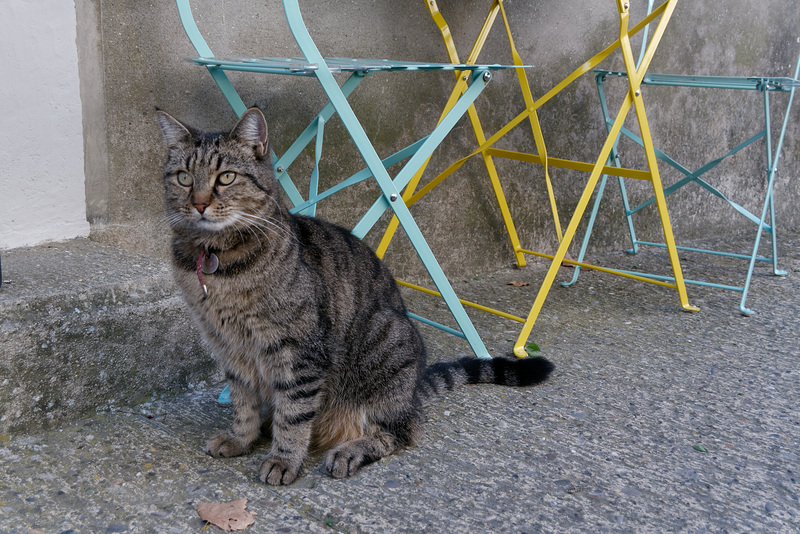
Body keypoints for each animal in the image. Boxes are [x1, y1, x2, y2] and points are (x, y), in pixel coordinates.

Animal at [157, 108, 556, 486]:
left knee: (398, 432)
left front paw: (284, 460)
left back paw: (348, 451)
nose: (199, 204)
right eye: (184, 177)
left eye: (226, 177)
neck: (218, 262)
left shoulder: (298, 352)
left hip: (386, 348)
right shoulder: (229, 348)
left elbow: (294, 415)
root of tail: (413, 393)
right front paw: (241, 439)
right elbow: (244, 404)